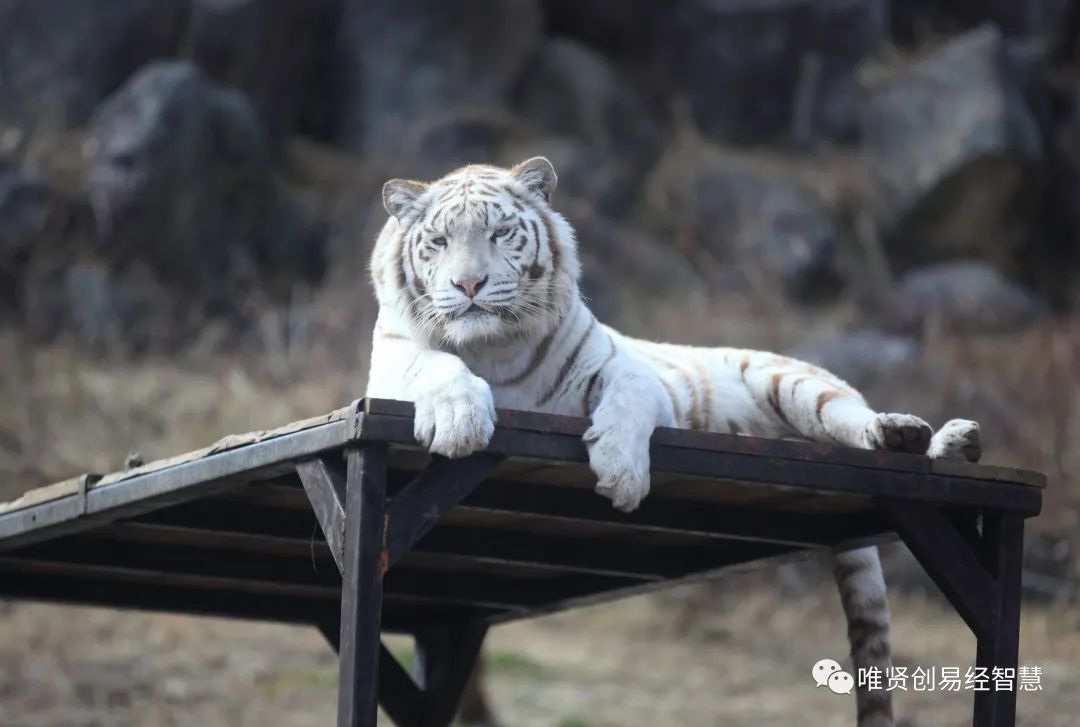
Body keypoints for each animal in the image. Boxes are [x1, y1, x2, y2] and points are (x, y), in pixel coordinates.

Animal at [365, 155, 980, 721]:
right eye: (439, 242)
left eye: (498, 233)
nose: (468, 284)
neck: (495, 346)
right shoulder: (393, 366)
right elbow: (437, 366)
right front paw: (460, 421)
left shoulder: (626, 370)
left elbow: (628, 401)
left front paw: (621, 474)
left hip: (797, 384)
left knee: (854, 419)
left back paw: (921, 436)